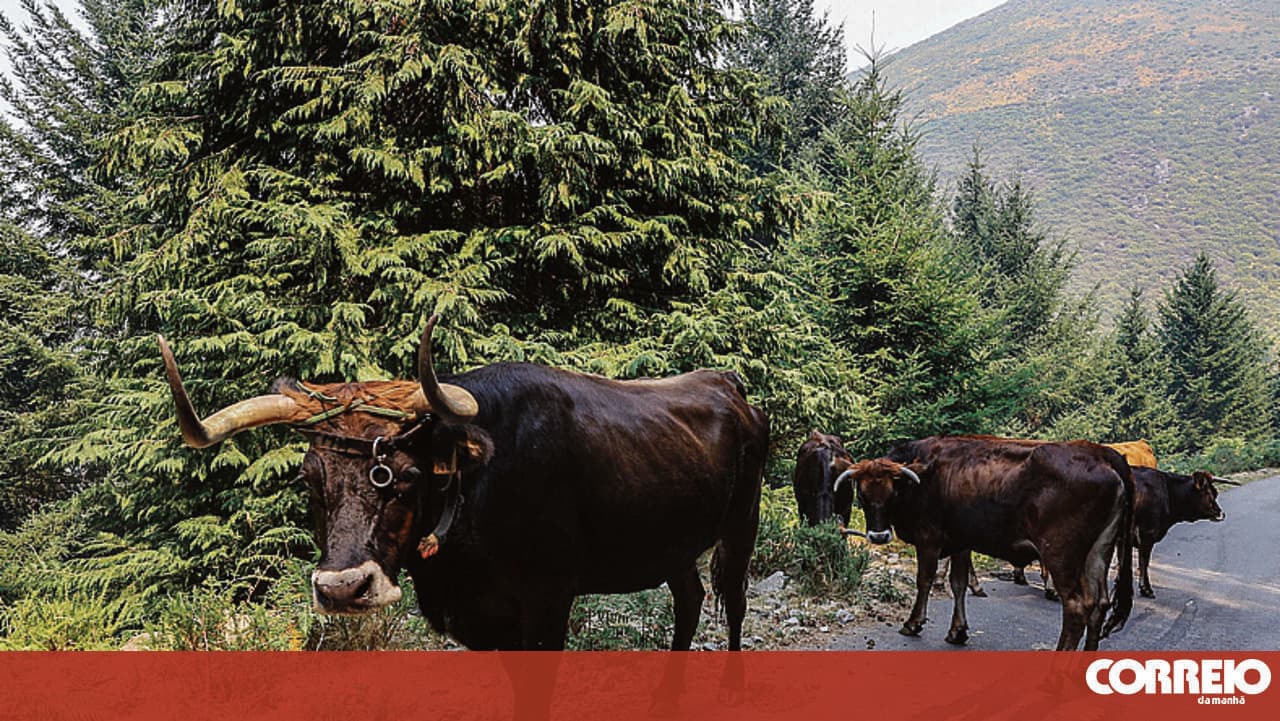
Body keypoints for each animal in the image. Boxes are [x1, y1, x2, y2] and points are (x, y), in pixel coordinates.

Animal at [158, 316, 769, 660]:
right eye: (309, 478)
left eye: (405, 475)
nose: (342, 589)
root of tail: (725, 382)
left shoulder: (548, 602)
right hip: (671, 543)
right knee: (689, 598)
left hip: (742, 527)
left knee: (733, 604)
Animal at [836, 435, 1134, 650]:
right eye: (862, 495)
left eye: (892, 493)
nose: (878, 536)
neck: (926, 477)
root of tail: (1102, 453)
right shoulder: (961, 542)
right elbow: (958, 584)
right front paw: (957, 631)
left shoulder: (928, 539)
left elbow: (924, 581)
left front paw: (913, 623)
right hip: (1099, 551)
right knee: (1100, 602)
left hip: (1061, 554)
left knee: (1076, 606)